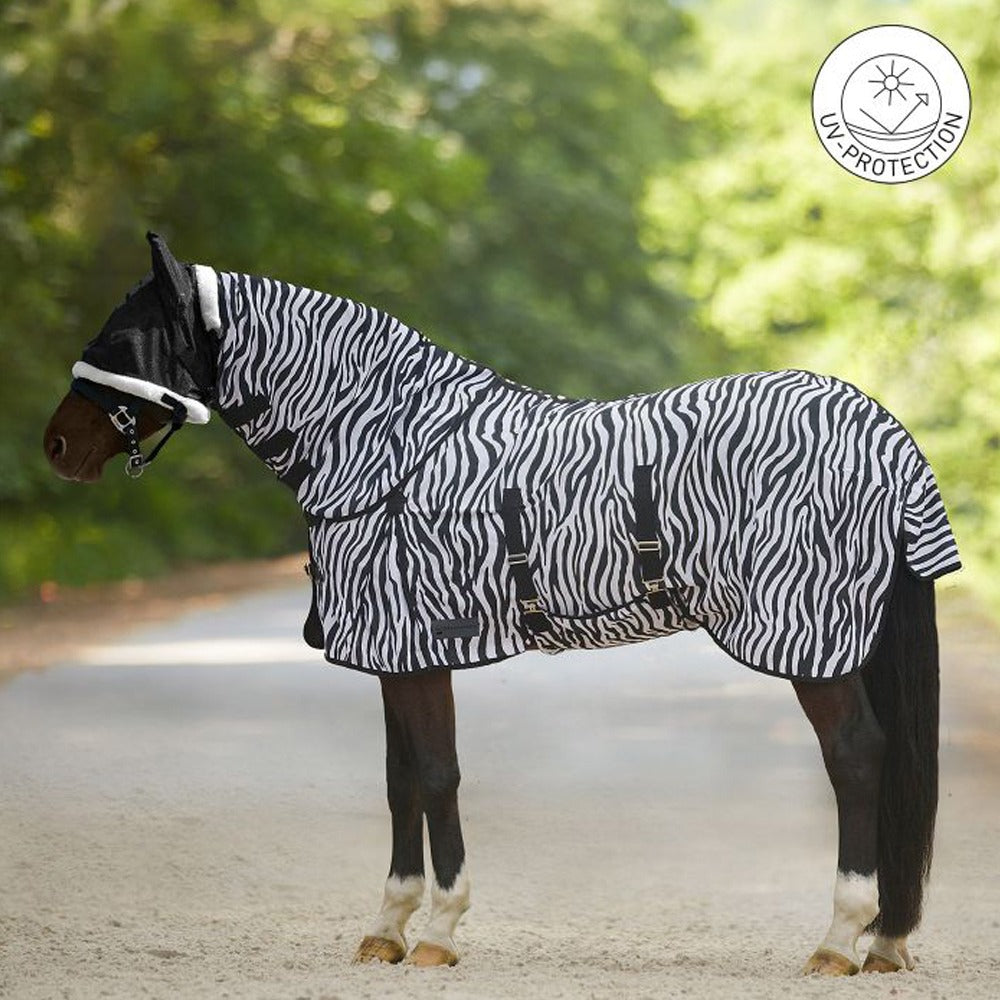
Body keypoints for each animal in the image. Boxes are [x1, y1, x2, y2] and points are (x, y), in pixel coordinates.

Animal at [43, 232, 959, 975]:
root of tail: (885, 433)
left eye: (122, 340)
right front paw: (387, 929)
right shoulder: (396, 651)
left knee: (858, 757)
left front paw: (439, 932)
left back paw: (839, 941)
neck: (388, 448)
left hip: (814, 640)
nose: (55, 447)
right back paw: (884, 941)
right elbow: (401, 779)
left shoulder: (417, 646)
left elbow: (437, 775)